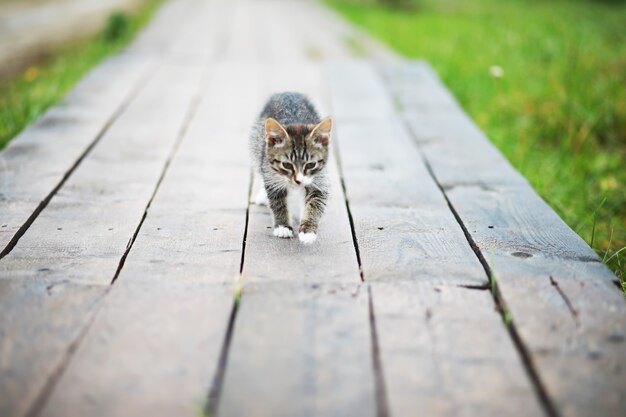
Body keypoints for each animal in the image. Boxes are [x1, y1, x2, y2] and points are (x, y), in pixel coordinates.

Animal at [251, 92, 334, 242]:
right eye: (287, 165)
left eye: (311, 164)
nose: (298, 181)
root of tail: (287, 92)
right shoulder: (272, 175)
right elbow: (277, 201)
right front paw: (283, 226)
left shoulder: (320, 178)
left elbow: (315, 201)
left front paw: (308, 230)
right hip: (257, 144)